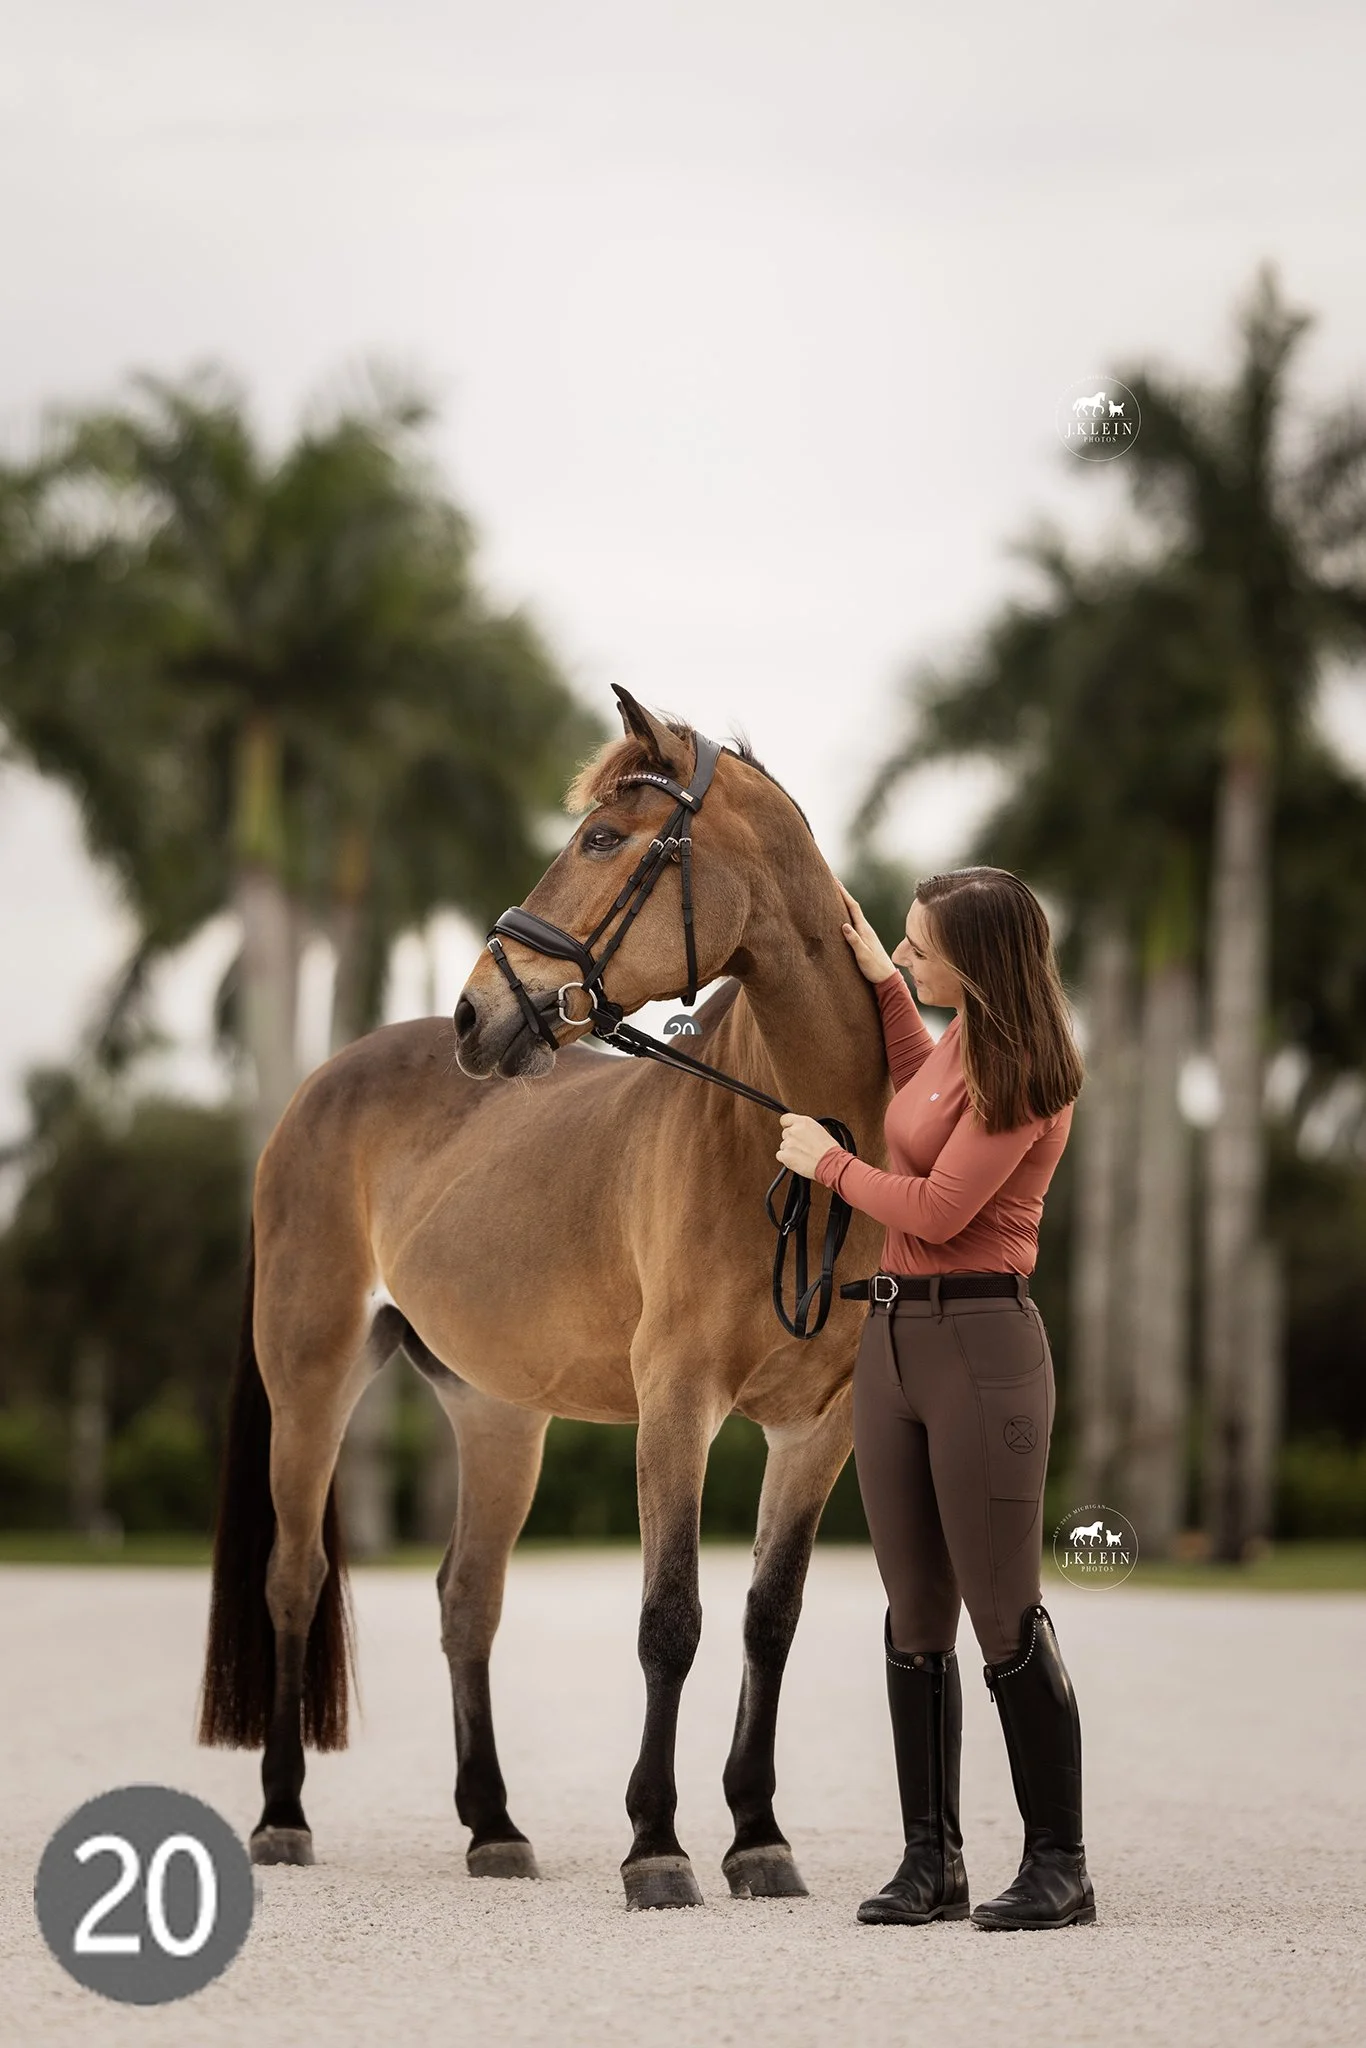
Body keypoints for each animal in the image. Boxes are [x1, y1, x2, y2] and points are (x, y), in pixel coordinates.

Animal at [197, 685, 891, 1910]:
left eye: (605, 838)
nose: (478, 1015)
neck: (798, 1144)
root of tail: (318, 1086)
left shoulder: (819, 1427)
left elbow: (769, 1617)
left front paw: (758, 1835)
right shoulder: (676, 1402)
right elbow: (670, 1619)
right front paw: (657, 1845)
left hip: (497, 1414)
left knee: (467, 1596)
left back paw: (493, 1826)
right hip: (311, 1380)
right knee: (293, 1579)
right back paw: (282, 1816)